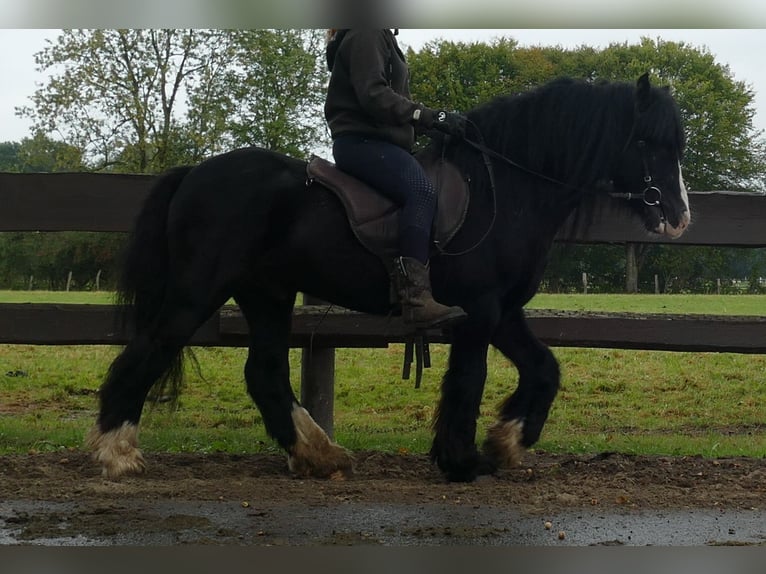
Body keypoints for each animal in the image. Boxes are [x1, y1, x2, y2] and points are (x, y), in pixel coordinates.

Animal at [88, 74, 688, 484]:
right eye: (648, 142)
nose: (679, 217)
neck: (504, 189)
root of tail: (196, 172)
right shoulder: (480, 311)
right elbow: (467, 382)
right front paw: (462, 461)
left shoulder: (504, 312)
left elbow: (545, 369)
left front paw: (509, 442)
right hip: (197, 293)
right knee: (148, 352)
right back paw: (117, 452)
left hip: (267, 295)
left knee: (264, 373)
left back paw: (319, 454)